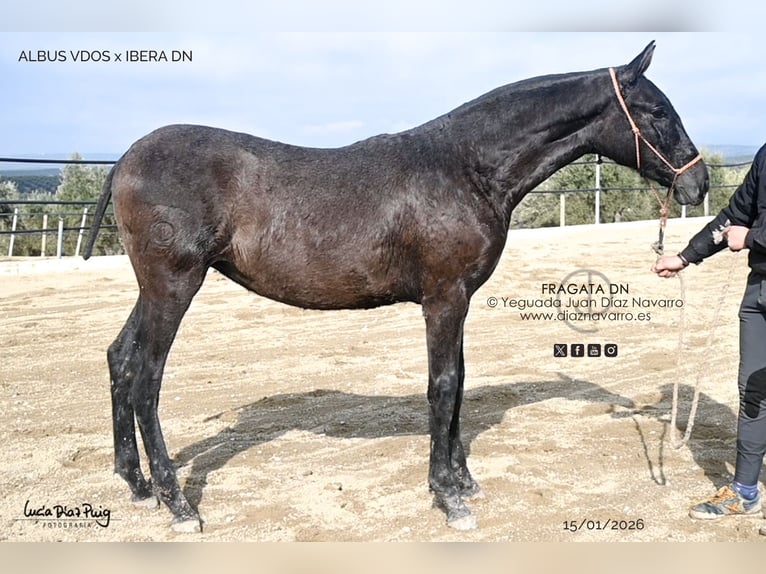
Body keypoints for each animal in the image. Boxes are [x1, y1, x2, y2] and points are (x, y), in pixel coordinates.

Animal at [83, 41, 709, 533]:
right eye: (655, 111)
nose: (698, 183)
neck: (465, 168)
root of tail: (126, 159)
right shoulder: (443, 298)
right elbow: (444, 386)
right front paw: (449, 498)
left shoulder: (459, 300)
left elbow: (460, 385)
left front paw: (464, 480)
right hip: (173, 286)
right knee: (147, 379)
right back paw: (178, 504)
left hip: (155, 291)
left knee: (120, 359)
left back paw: (137, 484)